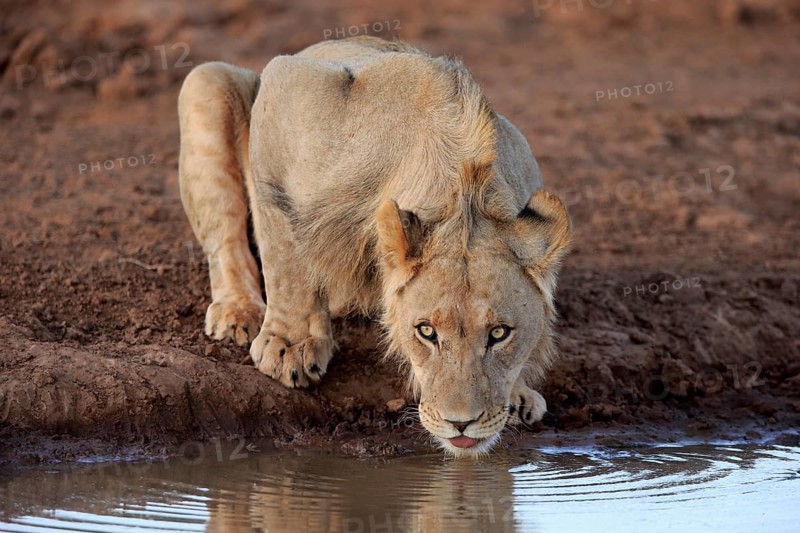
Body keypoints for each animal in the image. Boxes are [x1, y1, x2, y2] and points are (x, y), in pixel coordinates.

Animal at [178, 36, 572, 457]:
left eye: (499, 334)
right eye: (426, 332)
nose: (461, 423)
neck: (461, 183)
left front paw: (518, 392)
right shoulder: (286, 92)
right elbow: (283, 255)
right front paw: (289, 347)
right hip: (207, 82)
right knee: (228, 235)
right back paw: (237, 312)